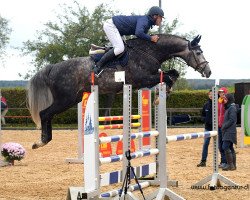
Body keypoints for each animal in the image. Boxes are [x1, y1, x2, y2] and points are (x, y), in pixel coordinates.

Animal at [27, 33, 211, 148]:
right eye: (198, 52)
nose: (208, 71)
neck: (149, 52)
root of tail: (52, 68)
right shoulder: (143, 79)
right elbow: (167, 77)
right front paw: (161, 95)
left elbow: (172, 74)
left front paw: (164, 91)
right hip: (65, 99)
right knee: (45, 114)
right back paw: (41, 142)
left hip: (74, 98)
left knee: (48, 115)